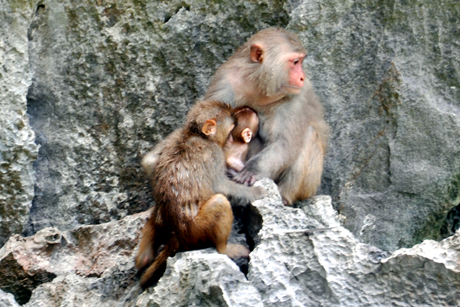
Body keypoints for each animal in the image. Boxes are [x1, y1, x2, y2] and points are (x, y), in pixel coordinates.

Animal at [137, 100, 266, 288]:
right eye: (231, 131)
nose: (230, 141)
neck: (198, 135)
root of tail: (176, 236)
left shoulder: (176, 134)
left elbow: (150, 161)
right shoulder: (215, 154)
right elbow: (222, 186)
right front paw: (256, 192)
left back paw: (145, 252)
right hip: (195, 231)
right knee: (220, 202)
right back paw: (225, 249)